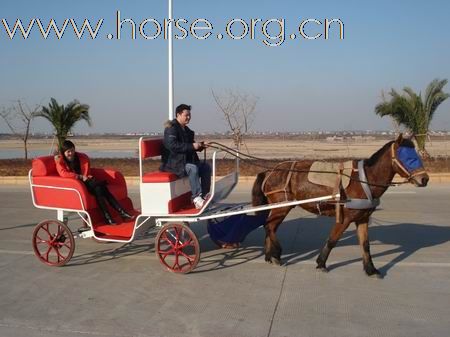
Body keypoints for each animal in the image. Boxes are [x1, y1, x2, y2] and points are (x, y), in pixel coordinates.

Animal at [251, 133, 430, 276]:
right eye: (408, 158)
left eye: (416, 156)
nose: (424, 179)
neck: (364, 179)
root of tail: (269, 171)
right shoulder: (345, 218)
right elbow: (332, 240)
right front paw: (321, 263)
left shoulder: (362, 218)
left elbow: (365, 245)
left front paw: (370, 269)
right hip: (282, 206)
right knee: (269, 226)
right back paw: (276, 254)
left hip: (279, 207)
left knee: (270, 227)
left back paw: (270, 255)